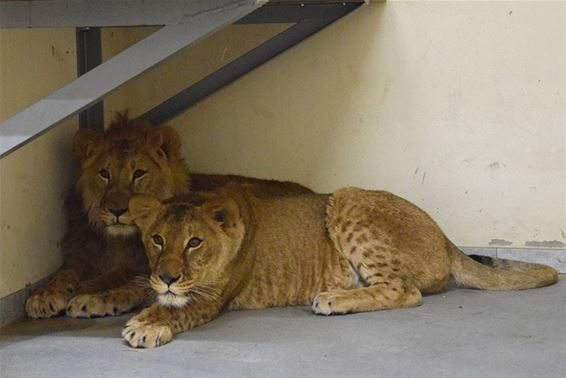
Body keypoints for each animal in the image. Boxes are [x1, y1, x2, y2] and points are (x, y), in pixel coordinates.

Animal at [24, 113, 312, 318]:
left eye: (139, 173)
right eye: (104, 173)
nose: (117, 211)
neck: (117, 240)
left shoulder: (143, 266)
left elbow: (119, 278)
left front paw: (88, 294)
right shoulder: (83, 253)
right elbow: (65, 272)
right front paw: (44, 296)